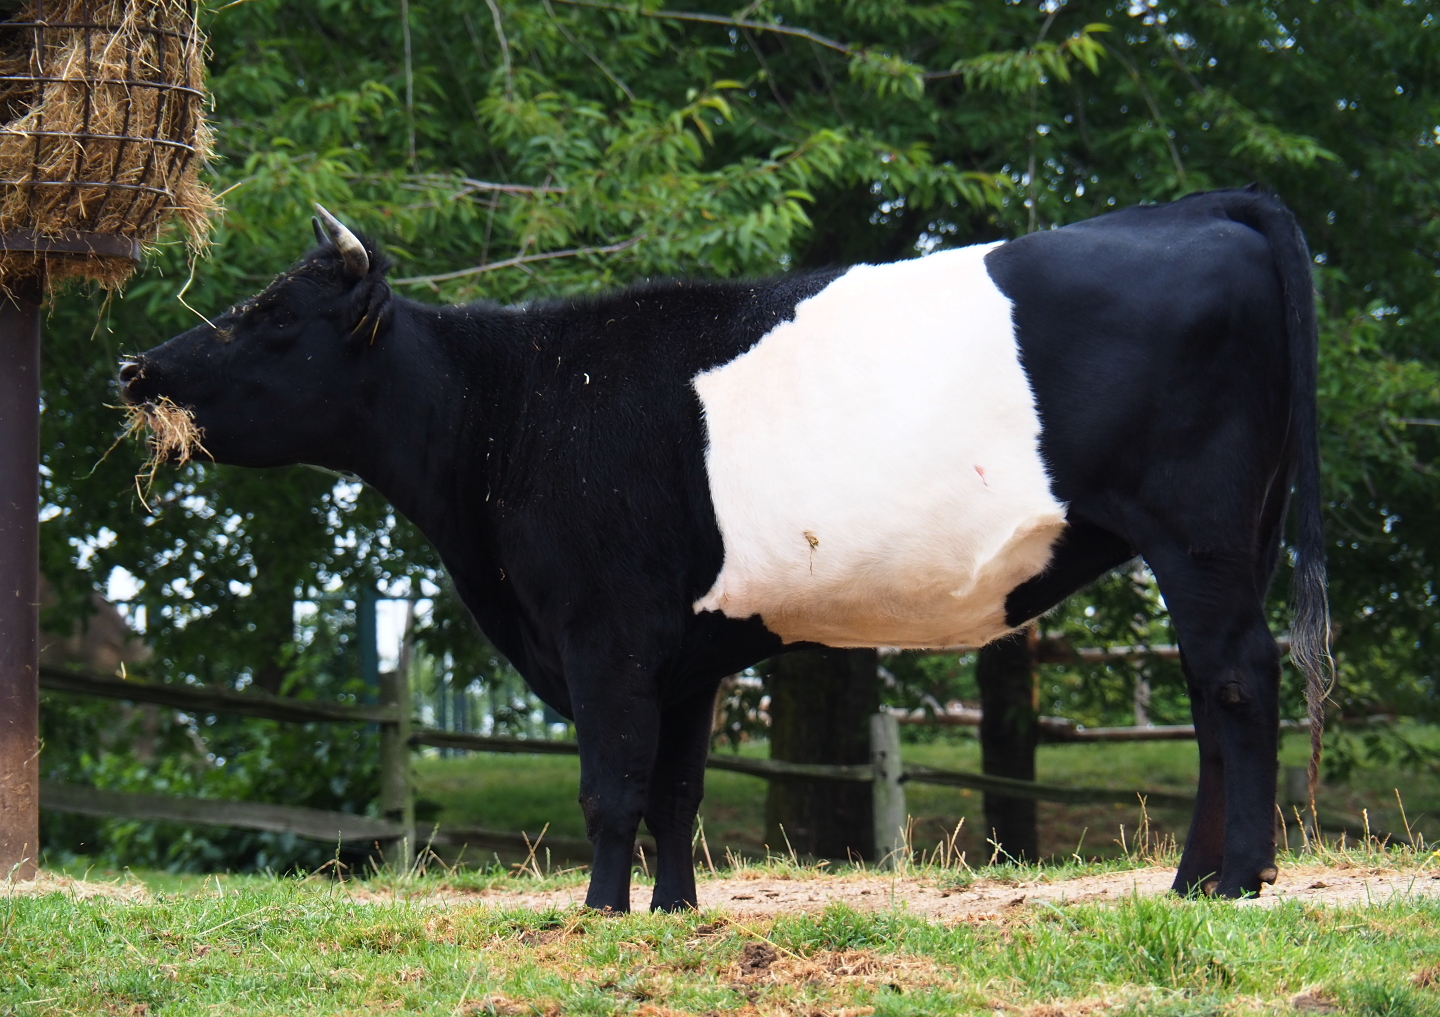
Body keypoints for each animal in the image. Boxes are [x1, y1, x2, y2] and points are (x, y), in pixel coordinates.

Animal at [119, 187, 1331, 910]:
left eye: (274, 319)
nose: (137, 367)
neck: (516, 405)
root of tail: (1200, 210)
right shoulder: (687, 650)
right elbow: (677, 790)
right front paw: (668, 911)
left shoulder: (601, 631)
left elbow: (612, 784)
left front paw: (600, 914)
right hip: (1231, 535)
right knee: (1212, 692)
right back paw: (1192, 879)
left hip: (1201, 536)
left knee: (1235, 681)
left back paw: (1235, 879)